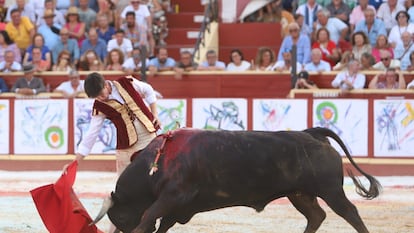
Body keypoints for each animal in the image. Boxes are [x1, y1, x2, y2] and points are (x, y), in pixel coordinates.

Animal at [92, 127, 380, 233]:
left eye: (119, 217)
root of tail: (313, 134)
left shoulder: (173, 196)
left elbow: (148, 216)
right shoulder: (178, 206)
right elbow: (161, 223)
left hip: (331, 190)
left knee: (350, 212)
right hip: (299, 194)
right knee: (316, 216)